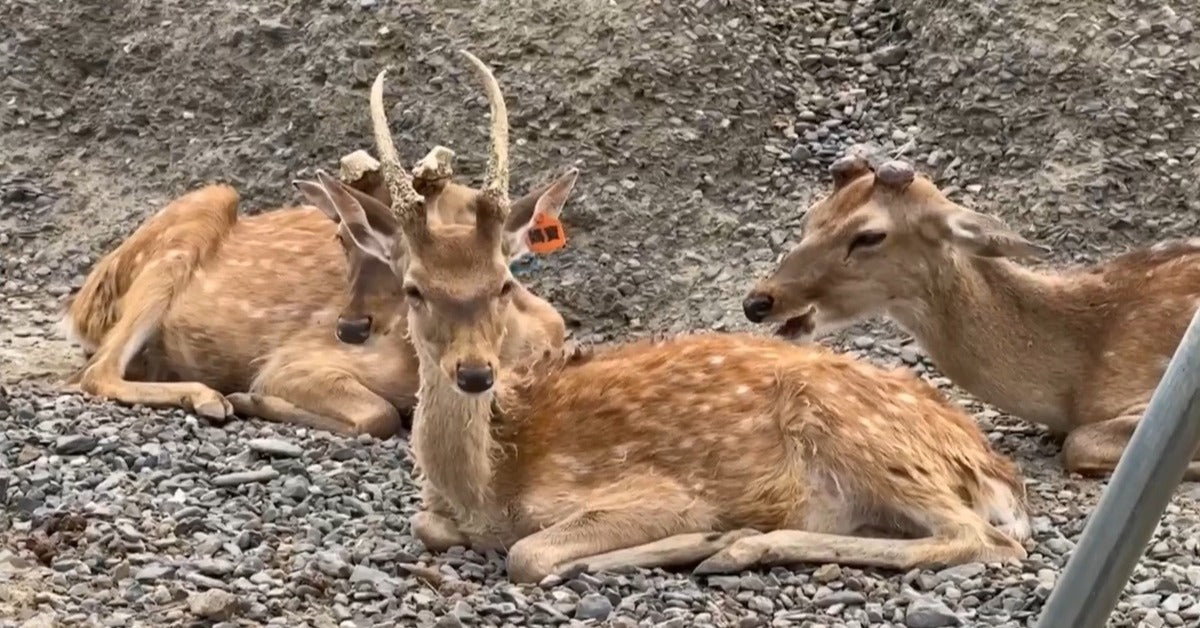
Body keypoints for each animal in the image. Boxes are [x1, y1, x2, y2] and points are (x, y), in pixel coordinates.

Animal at [60, 54, 579, 439]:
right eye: (415, 289)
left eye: (504, 284)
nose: (474, 374)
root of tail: (81, 309)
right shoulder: (296, 361)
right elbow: (377, 414)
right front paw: (250, 397)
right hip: (178, 244)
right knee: (97, 372)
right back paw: (210, 397)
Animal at [321, 55, 1035, 584]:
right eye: (413, 289)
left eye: (504, 283)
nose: (475, 374)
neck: (489, 486)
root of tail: (994, 471)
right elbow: (426, 524)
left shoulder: (657, 491)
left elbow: (529, 551)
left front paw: (703, 534)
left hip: (862, 438)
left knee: (980, 540)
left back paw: (733, 543)